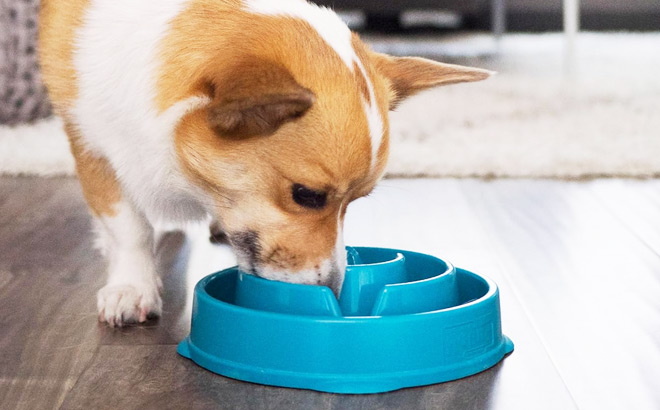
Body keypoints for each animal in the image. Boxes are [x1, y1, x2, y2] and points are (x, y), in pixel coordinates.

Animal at [36, 0, 490, 326]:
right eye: (306, 195)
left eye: (355, 203)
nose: (333, 292)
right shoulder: (92, 147)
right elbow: (129, 228)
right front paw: (132, 287)